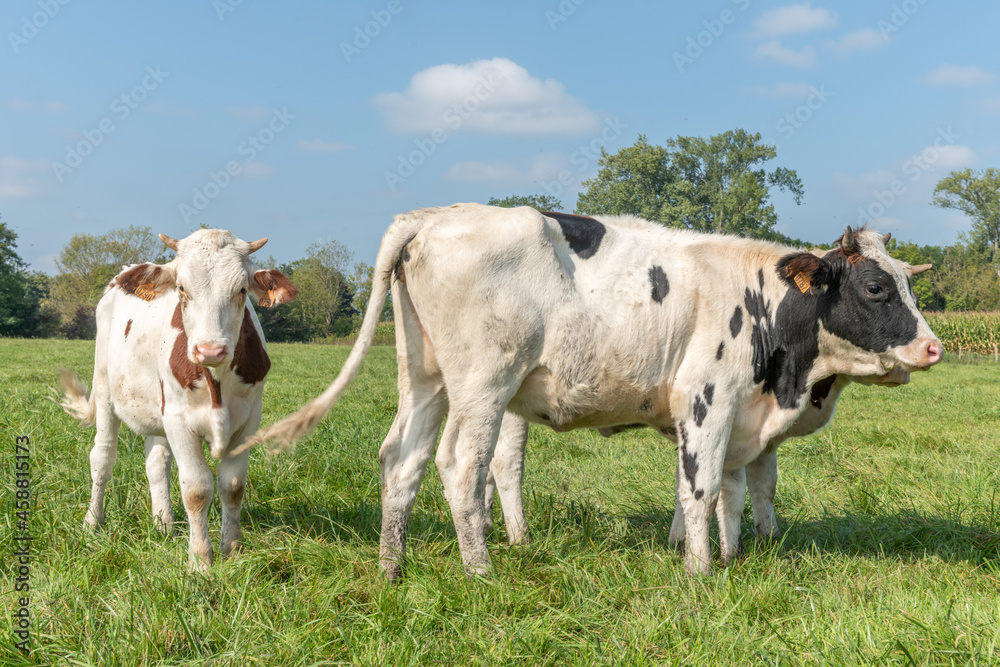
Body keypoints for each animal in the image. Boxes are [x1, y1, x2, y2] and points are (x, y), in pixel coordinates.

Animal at [60, 230, 294, 568]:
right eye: (182, 288)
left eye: (242, 290)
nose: (210, 350)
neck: (216, 380)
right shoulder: (179, 420)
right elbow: (196, 488)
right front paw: (200, 560)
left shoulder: (249, 420)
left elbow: (233, 485)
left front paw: (231, 550)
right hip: (105, 389)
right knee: (102, 457)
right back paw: (93, 522)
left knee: (156, 462)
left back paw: (163, 524)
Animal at [246, 204, 940, 580]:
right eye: (876, 288)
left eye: (907, 283)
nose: (934, 347)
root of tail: (430, 218)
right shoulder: (707, 401)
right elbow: (702, 490)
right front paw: (701, 573)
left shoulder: (744, 417)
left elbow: (742, 492)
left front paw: (738, 554)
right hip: (484, 384)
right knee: (463, 466)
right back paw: (481, 572)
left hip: (425, 378)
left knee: (402, 460)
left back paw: (392, 569)